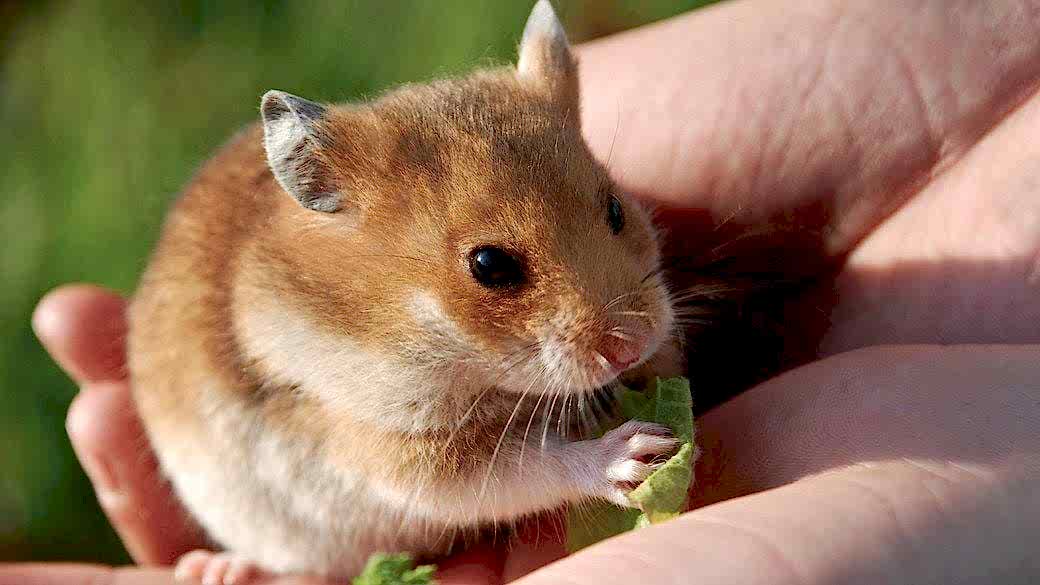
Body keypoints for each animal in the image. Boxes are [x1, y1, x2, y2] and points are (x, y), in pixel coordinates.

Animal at [128, 1, 684, 582]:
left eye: (616, 210)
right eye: (489, 265)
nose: (630, 347)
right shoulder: (401, 451)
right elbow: (529, 466)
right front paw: (642, 453)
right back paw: (217, 569)